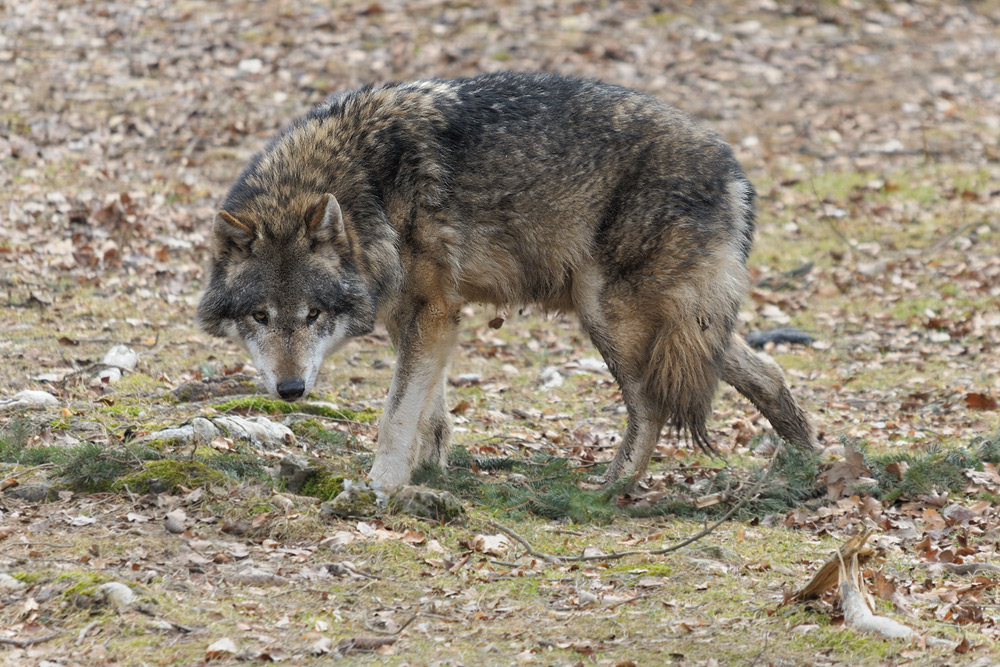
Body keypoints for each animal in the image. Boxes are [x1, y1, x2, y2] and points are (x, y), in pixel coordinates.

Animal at [197, 72, 817, 491]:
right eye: (260, 317)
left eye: (313, 315)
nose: (290, 391)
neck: (366, 187)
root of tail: (734, 170)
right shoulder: (419, 315)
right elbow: (430, 411)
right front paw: (428, 473)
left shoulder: (433, 311)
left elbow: (396, 414)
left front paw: (380, 488)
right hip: (683, 325)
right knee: (768, 373)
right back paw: (809, 464)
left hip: (607, 313)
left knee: (651, 408)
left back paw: (609, 490)